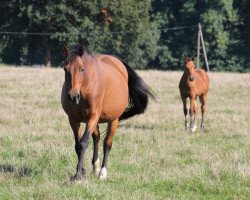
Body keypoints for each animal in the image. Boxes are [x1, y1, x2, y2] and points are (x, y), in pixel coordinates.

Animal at [60, 44, 154, 180]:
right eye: (65, 69)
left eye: (82, 69)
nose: (73, 97)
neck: (84, 89)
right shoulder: (73, 119)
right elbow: (78, 145)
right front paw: (81, 171)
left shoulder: (93, 116)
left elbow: (83, 143)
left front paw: (79, 174)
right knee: (96, 138)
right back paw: (95, 167)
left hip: (113, 120)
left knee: (107, 143)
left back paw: (102, 172)